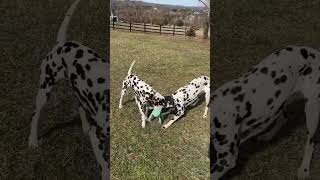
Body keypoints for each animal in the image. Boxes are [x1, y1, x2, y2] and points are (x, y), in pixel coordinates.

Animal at [27, 0, 110, 179]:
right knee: (35, 115)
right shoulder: (97, 136)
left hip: (79, 90)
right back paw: (32, 140)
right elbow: (105, 167)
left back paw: (84, 127)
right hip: (44, 91)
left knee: (80, 106)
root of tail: (61, 44)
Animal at [211, 46, 320, 179]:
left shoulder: (225, 160)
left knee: (310, 141)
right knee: (283, 118)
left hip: (312, 110)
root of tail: (316, 52)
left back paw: (304, 169)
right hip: (280, 102)